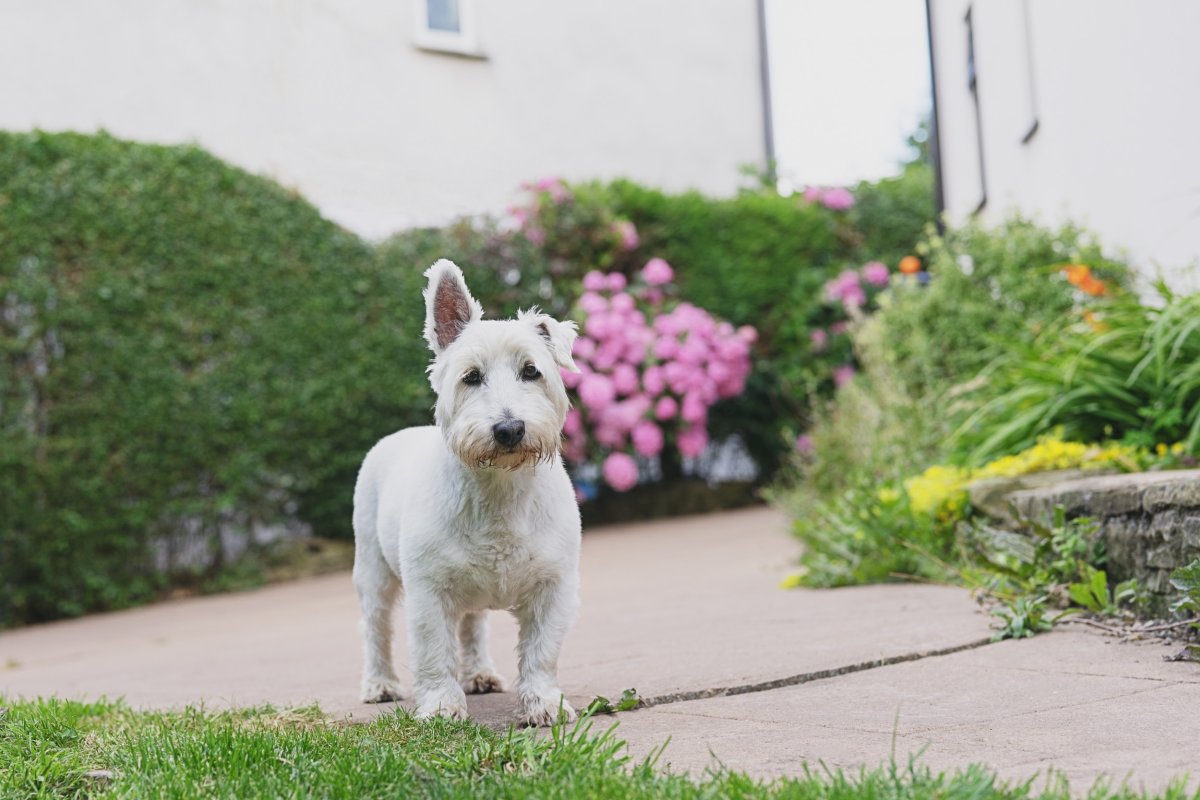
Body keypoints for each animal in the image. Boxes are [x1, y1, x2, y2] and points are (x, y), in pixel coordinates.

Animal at [350, 257, 583, 724]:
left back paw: (479, 674)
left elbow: (541, 650)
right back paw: (380, 684)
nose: (509, 429)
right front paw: (442, 706)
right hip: (372, 567)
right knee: (376, 627)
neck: (499, 489)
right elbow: (434, 651)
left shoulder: (555, 586)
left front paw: (544, 703)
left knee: (472, 624)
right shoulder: (428, 590)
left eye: (532, 371)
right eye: (471, 377)